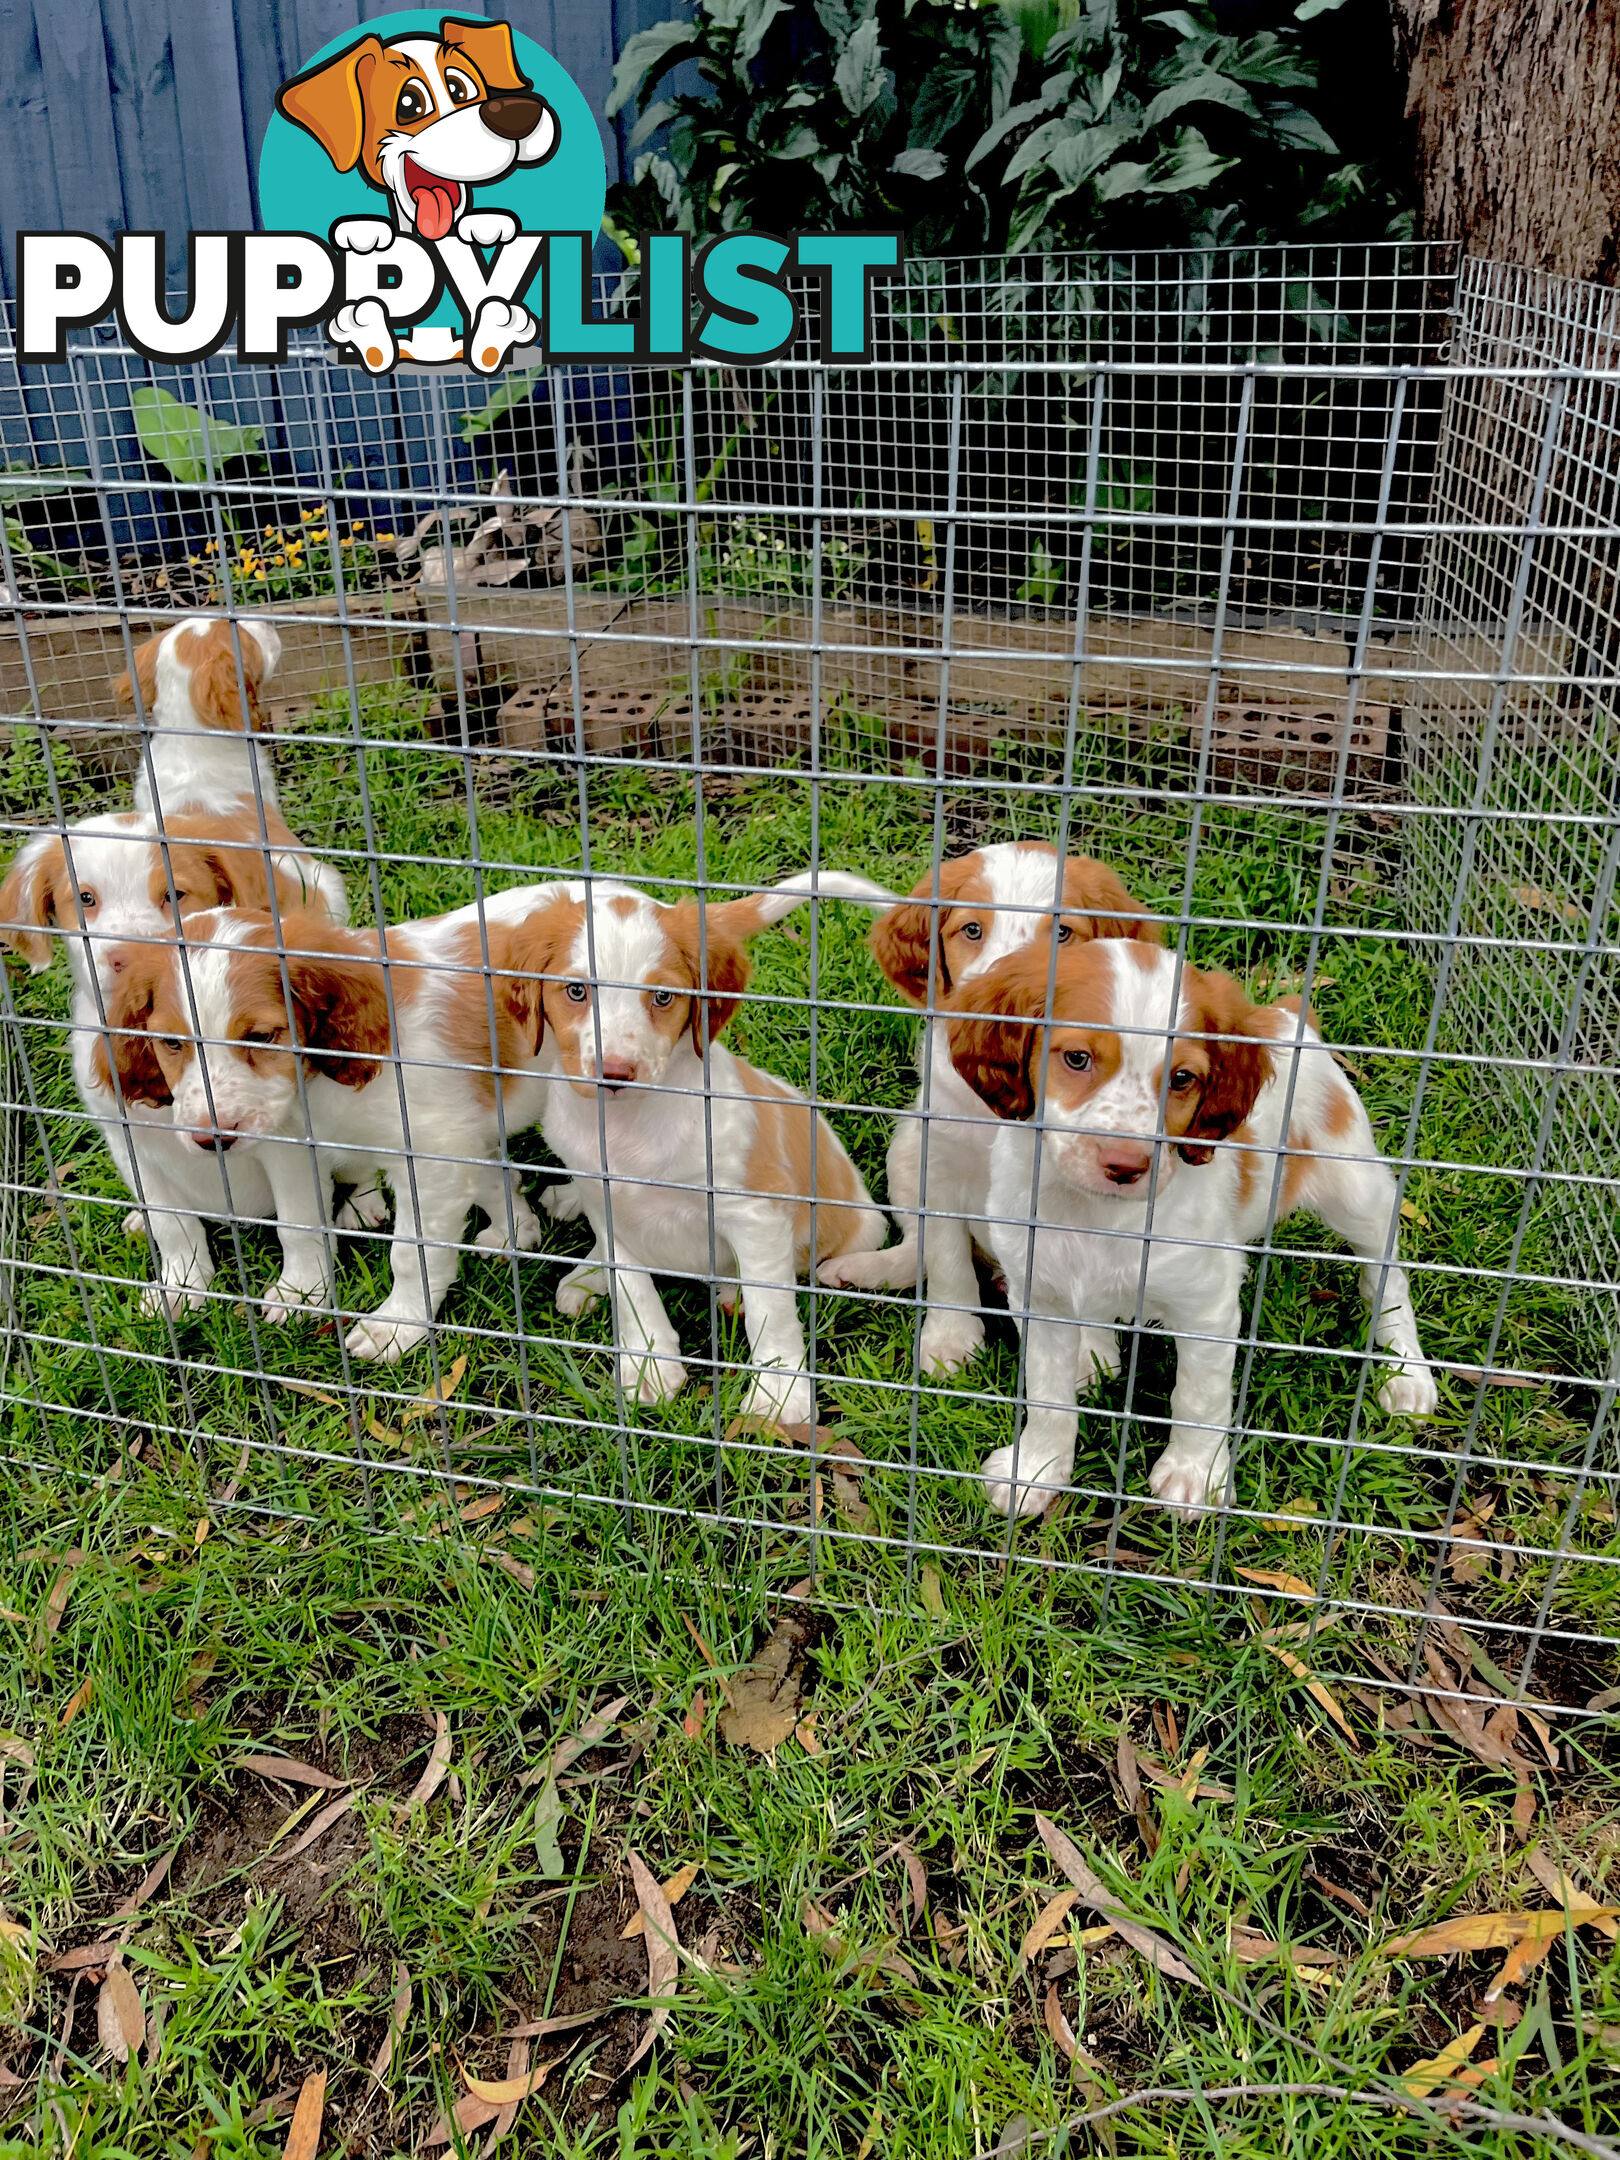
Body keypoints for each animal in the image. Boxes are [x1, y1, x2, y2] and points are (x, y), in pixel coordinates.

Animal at [0, 812, 349, 1313]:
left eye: (175, 894)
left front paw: (302, 1292)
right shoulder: (129, 1142)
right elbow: (172, 1223)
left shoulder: (288, 1144)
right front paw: (182, 1286)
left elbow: (299, 1222)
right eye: (84, 898)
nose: (126, 957)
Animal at [527, 868, 894, 1425]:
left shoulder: (755, 1213)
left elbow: (770, 1311)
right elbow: (633, 1289)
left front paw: (779, 1396)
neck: (630, 1123)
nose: (615, 1072)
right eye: (575, 991)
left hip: (857, 1231)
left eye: (662, 997)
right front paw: (652, 1367)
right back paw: (586, 1274)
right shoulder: (604, 1199)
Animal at [946, 941, 1442, 1520]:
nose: (1126, 1165)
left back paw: (1407, 1373)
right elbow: (1047, 1395)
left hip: (1355, 1188)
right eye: (1077, 1059)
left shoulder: (1208, 1307)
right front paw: (1036, 1470)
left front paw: (1193, 1477)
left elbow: (1198, 1399)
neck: (1096, 1214)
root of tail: (1284, 1016)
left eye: (1182, 1079)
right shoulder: (1038, 1293)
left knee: (1386, 1276)